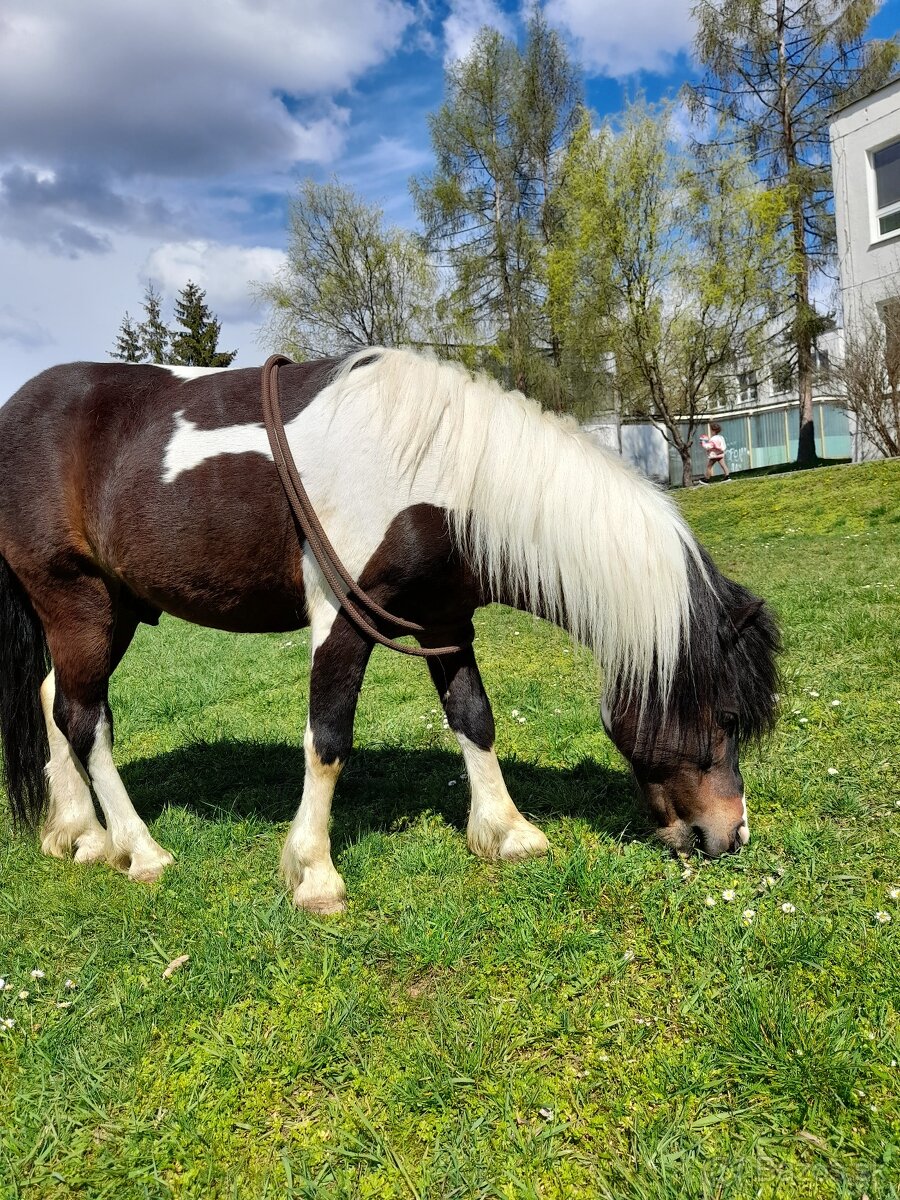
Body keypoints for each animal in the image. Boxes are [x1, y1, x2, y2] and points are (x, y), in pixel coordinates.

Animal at [0, 348, 782, 907]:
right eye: (727, 715)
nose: (730, 834)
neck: (434, 471)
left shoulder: (444, 618)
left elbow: (474, 718)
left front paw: (507, 831)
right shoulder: (343, 617)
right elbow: (327, 740)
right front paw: (313, 873)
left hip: (115, 609)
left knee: (54, 699)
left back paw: (78, 835)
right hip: (77, 601)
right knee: (86, 721)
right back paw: (139, 849)